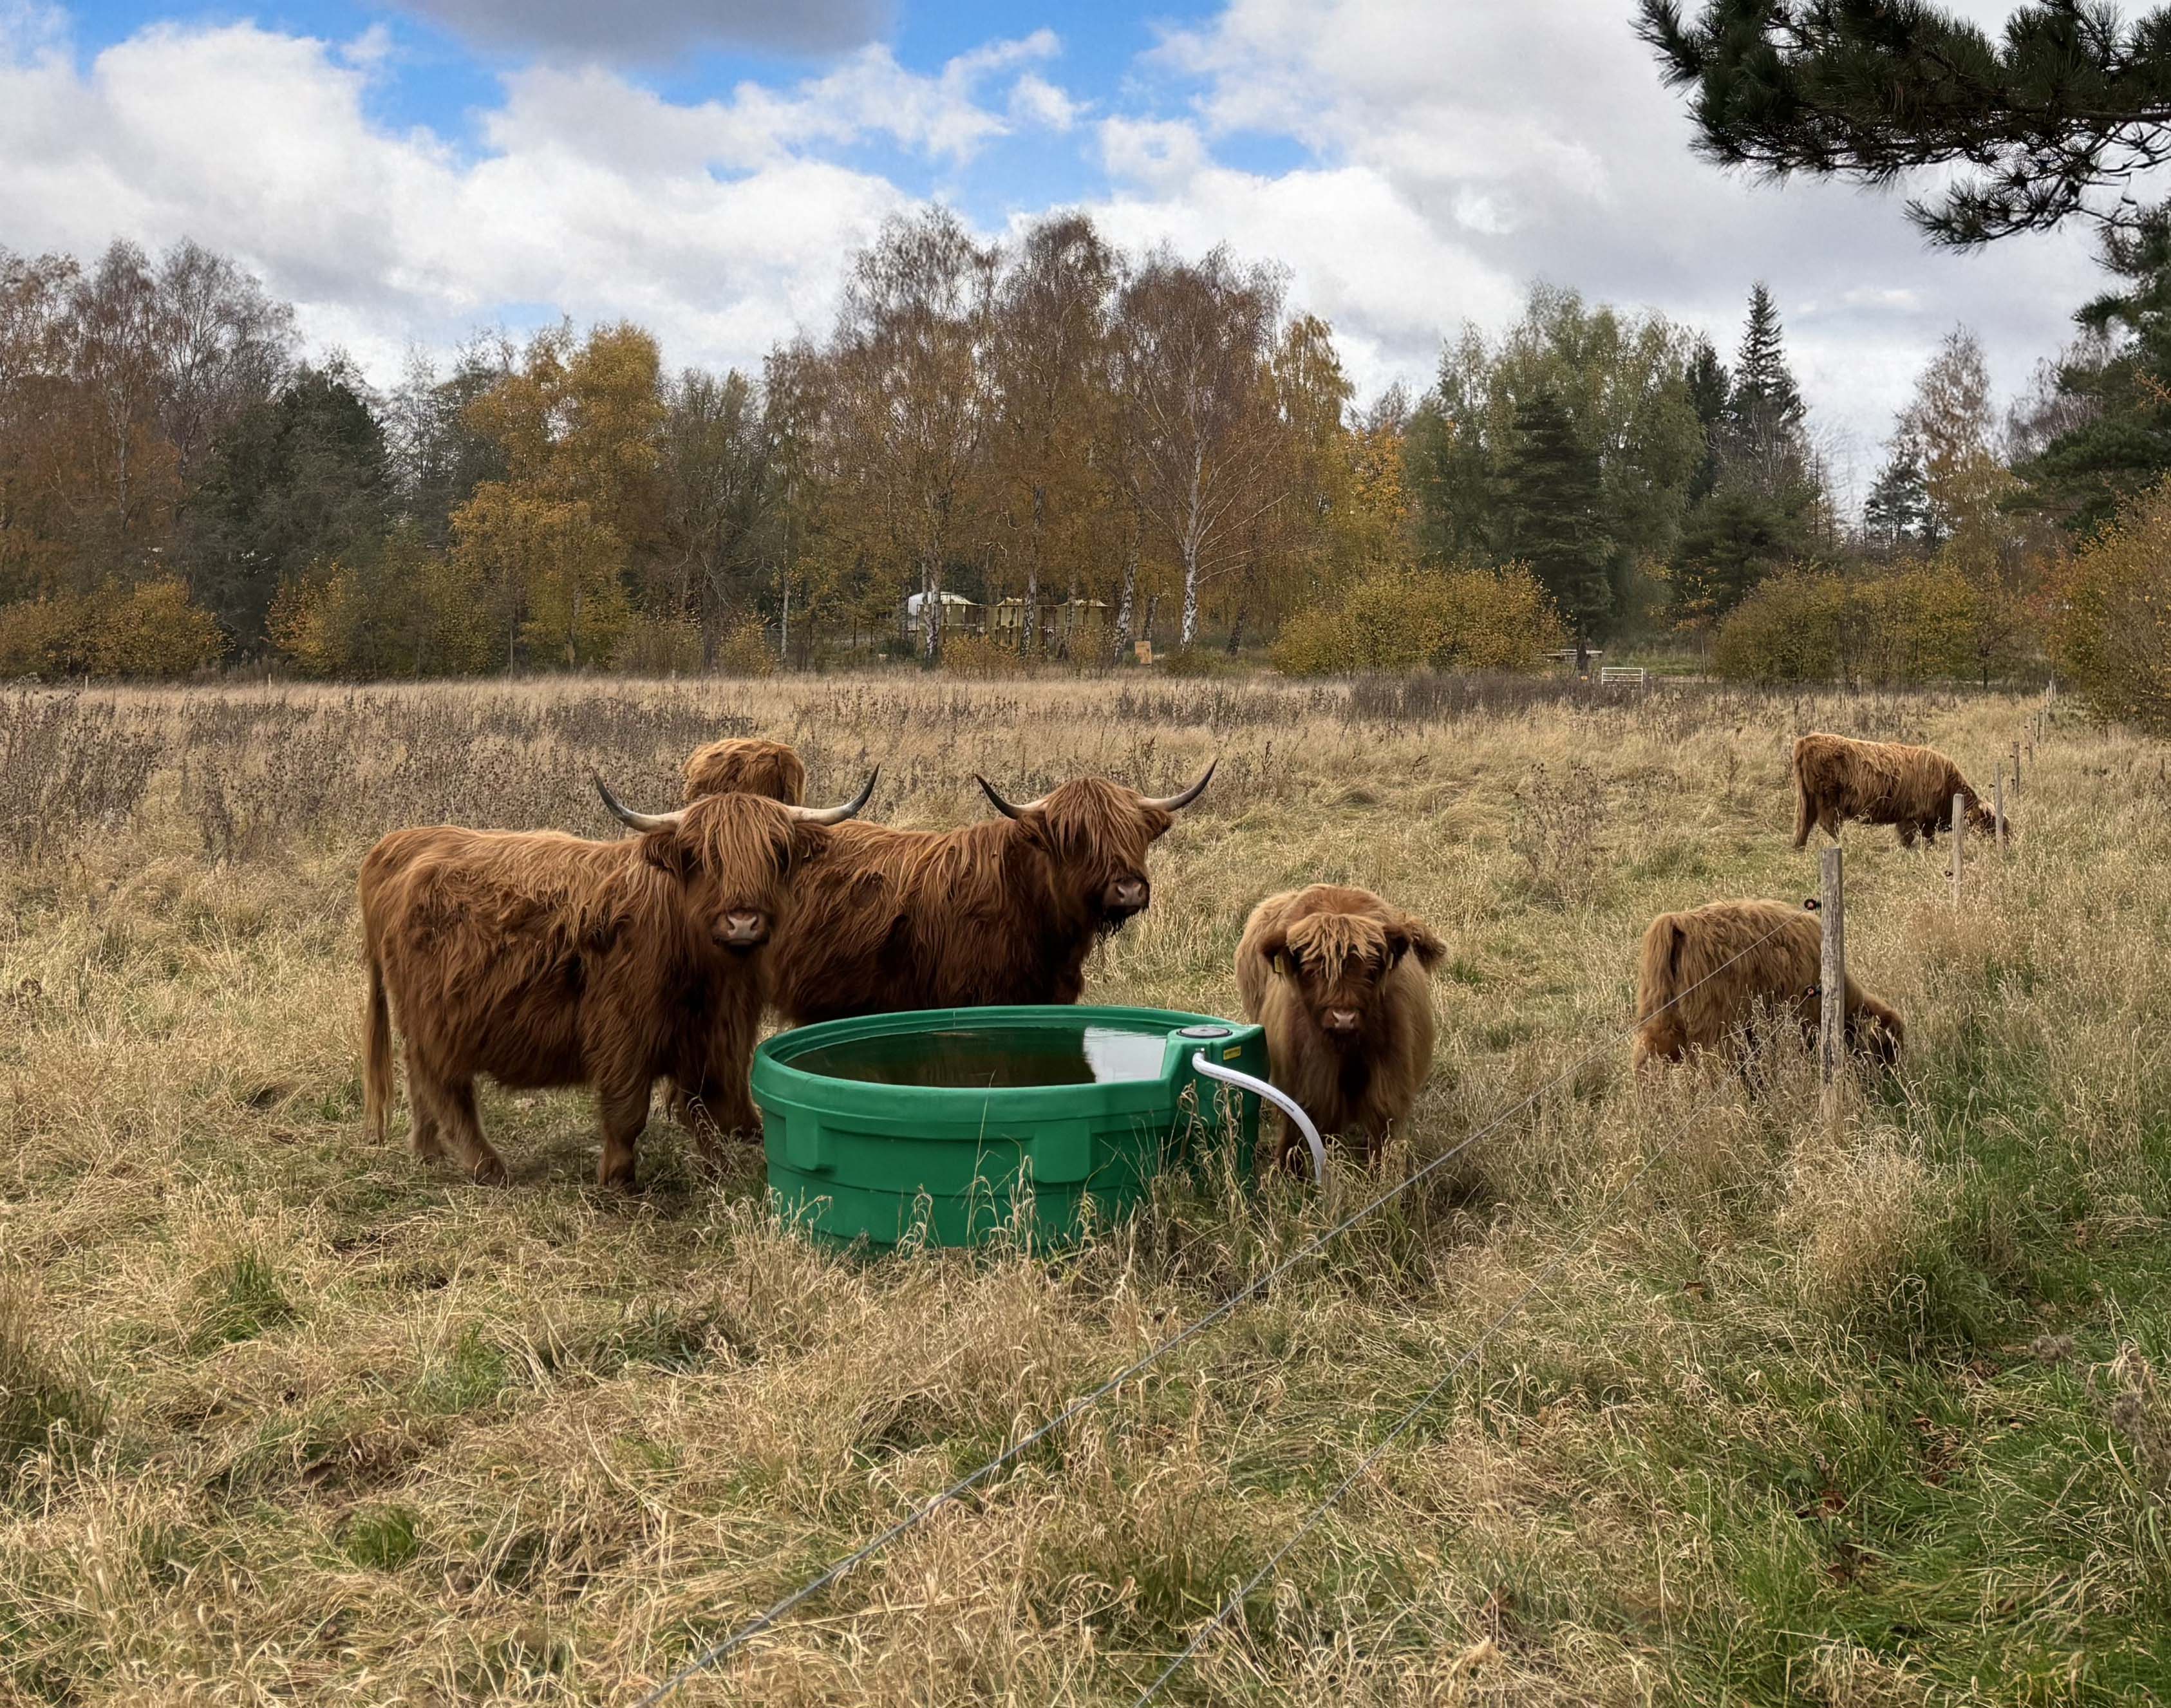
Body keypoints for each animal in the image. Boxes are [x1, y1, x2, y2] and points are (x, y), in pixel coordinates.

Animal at [360, 776, 868, 1189]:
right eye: (703, 857)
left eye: (776, 854)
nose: (742, 921)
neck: (708, 972)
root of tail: (400, 846)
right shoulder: (623, 1033)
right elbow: (629, 1112)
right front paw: (619, 1179)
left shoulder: (711, 1035)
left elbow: (703, 1107)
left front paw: (719, 1169)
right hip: (435, 1020)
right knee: (446, 1088)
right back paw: (488, 1167)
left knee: (421, 1078)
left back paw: (428, 1150)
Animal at [1241, 890, 1442, 1172]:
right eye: (1313, 970)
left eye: (1370, 969)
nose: (1344, 1017)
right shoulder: (1302, 1085)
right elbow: (1295, 1132)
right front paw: (1286, 1172)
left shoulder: (1387, 1089)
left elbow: (1381, 1142)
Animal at [1798, 729, 1997, 846]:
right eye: (1988, 824)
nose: (1996, 843)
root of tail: (1807, 740)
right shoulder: (1913, 818)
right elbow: (1910, 837)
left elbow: (1928, 837)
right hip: (1827, 800)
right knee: (1830, 825)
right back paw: (1845, 843)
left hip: (1809, 800)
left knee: (1806, 825)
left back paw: (1799, 848)